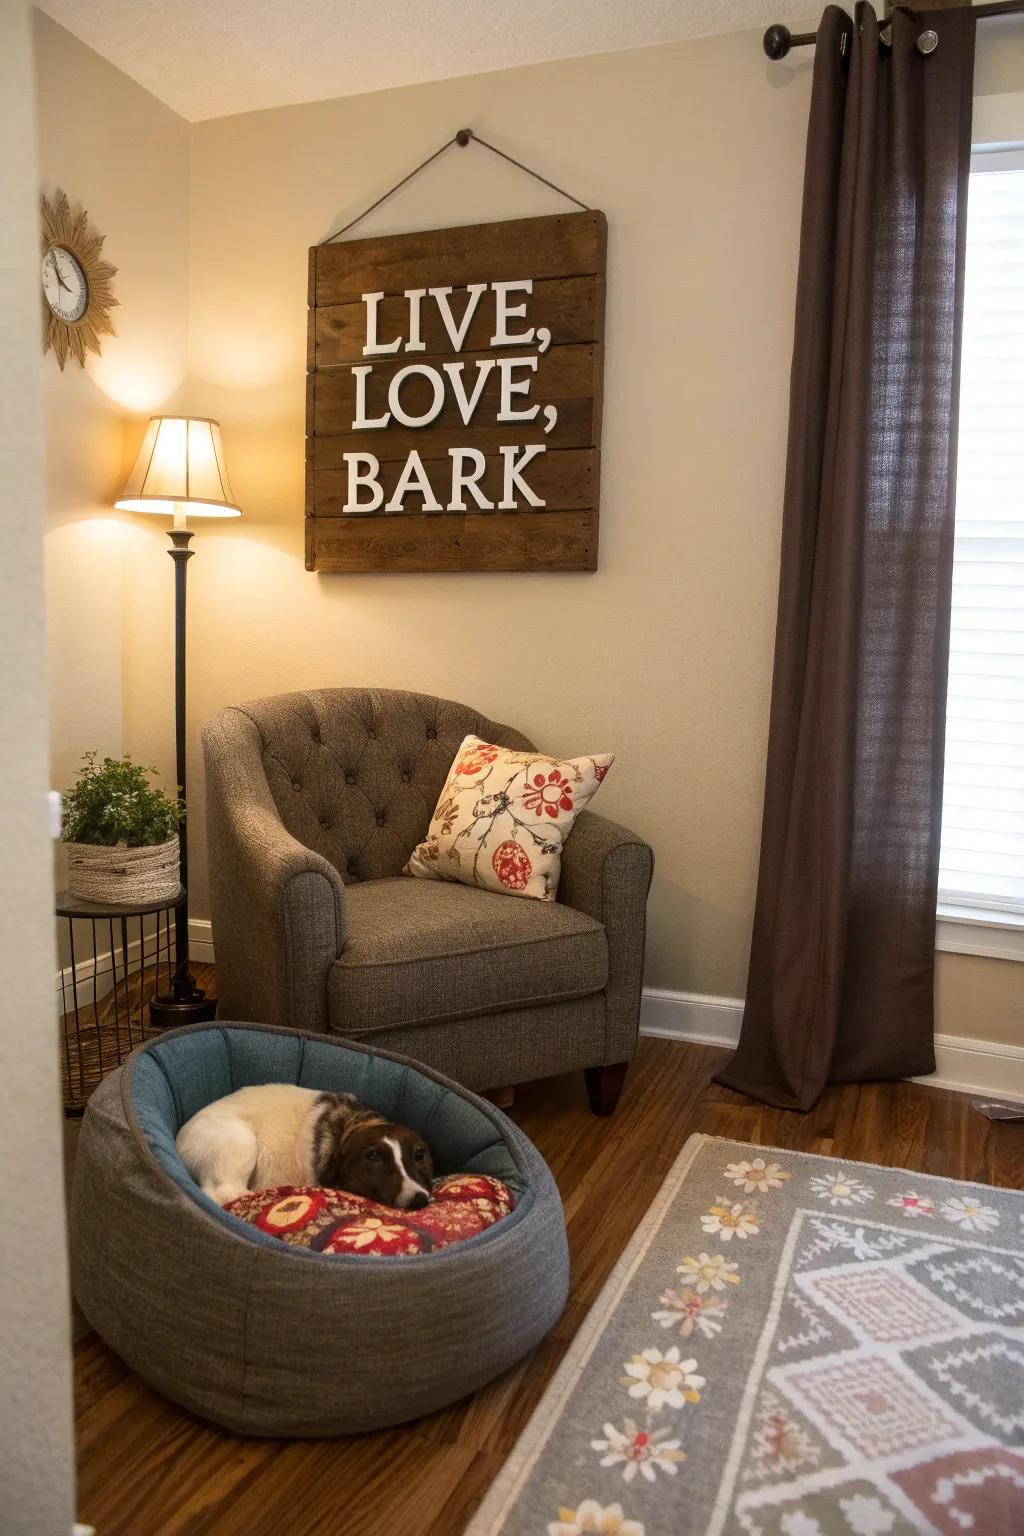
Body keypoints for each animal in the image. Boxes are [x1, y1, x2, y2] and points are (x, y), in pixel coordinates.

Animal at [176, 1087, 432, 1204]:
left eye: (420, 1154)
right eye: (374, 1156)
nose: (420, 1198)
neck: (354, 1124)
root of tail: (179, 1141)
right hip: (240, 1141)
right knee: (223, 1193)